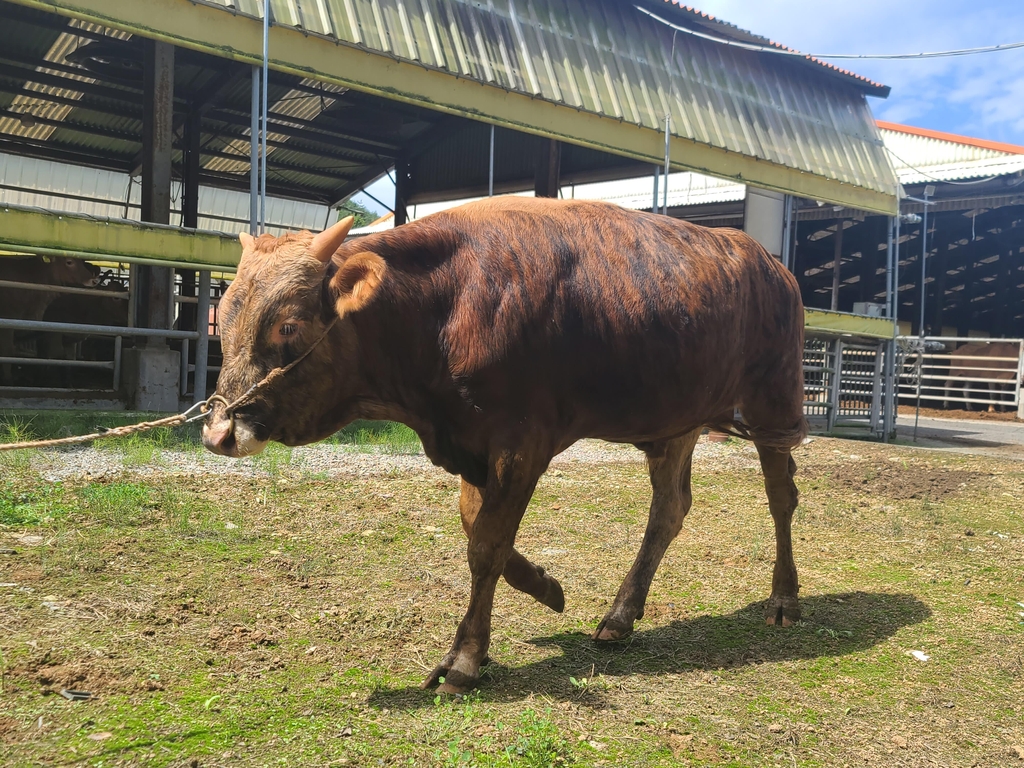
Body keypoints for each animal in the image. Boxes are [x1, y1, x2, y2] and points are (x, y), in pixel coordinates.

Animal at [199, 195, 806, 696]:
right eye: (223, 321)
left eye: (287, 326)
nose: (219, 431)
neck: (444, 306)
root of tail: (771, 263)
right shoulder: (471, 445)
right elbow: (479, 527)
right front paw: (544, 587)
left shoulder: (522, 443)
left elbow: (487, 543)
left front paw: (465, 658)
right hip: (677, 417)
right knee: (669, 509)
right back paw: (620, 614)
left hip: (773, 402)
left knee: (781, 497)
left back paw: (783, 598)